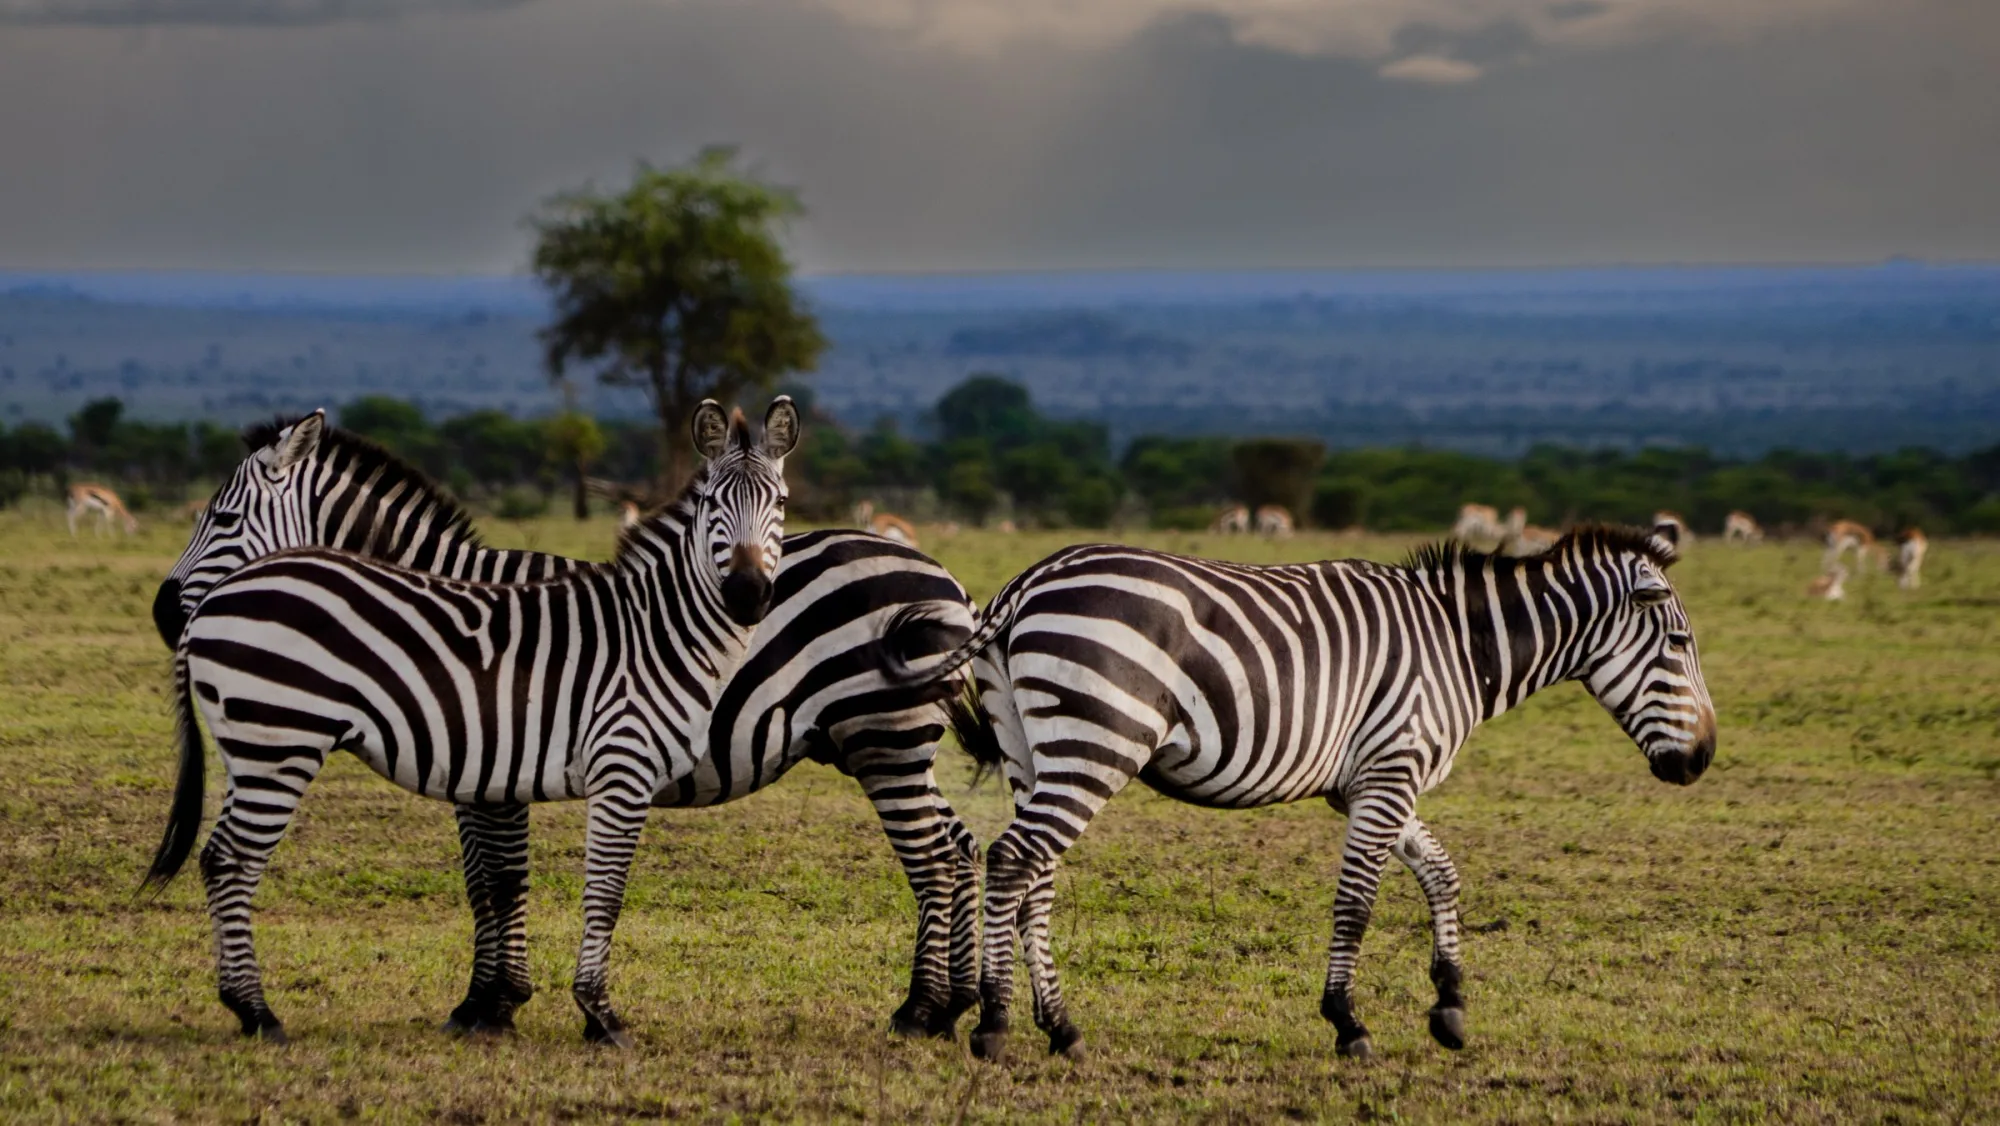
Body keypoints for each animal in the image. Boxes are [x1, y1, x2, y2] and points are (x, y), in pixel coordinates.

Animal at [152, 407, 983, 1041]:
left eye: (222, 517)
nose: (164, 613)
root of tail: (945, 577)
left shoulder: (492, 760)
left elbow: (500, 879)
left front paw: (496, 1002)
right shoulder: (485, 763)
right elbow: (488, 881)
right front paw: (489, 1002)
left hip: (884, 739)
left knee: (933, 858)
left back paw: (923, 1008)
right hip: (886, 745)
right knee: (958, 844)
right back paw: (952, 1006)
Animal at [887, 525, 1716, 1063]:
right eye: (1680, 644)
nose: (1703, 759)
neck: (1460, 646)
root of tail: (1024, 585)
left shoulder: (1369, 780)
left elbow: (1442, 873)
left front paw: (1449, 1006)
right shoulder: (1389, 772)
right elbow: (1358, 903)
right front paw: (1348, 1023)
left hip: (1033, 749)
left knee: (1034, 875)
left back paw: (1059, 1027)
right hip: (1098, 739)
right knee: (1016, 860)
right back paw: (995, 1025)